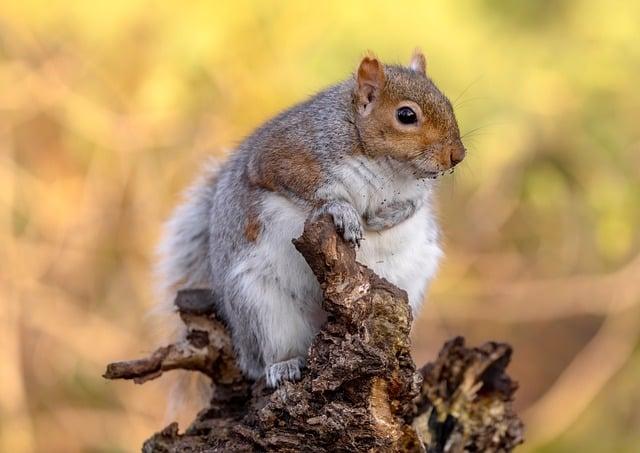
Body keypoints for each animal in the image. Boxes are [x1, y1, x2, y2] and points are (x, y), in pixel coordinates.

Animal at [155, 48, 464, 388]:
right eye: (406, 115)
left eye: (447, 102)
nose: (458, 155)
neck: (389, 168)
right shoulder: (283, 155)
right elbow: (309, 191)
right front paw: (343, 211)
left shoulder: (418, 192)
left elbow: (415, 205)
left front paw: (387, 218)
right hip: (261, 305)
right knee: (269, 350)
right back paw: (283, 366)